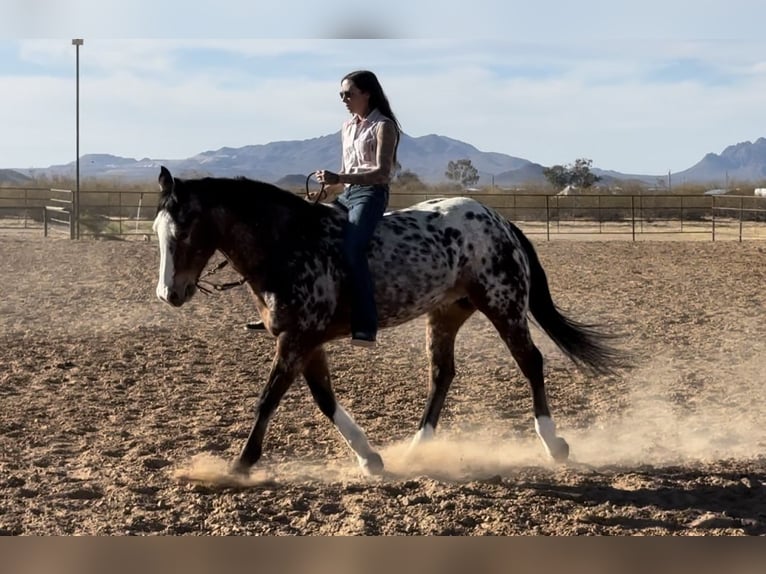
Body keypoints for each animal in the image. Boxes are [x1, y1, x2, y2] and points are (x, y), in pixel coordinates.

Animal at [153, 166, 628, 476]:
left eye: (184, 229)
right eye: (157, 231)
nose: (169, 294)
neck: (287, 244)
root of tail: (499, 221)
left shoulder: (296, 339)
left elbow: (268, 399)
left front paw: (239, 466)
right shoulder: (305, 341)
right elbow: (323, 399)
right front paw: (371, 459)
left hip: (504, 304)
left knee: (531, 363)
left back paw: (554, 444)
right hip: (446, 314)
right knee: (442, 373)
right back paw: (418, 448)